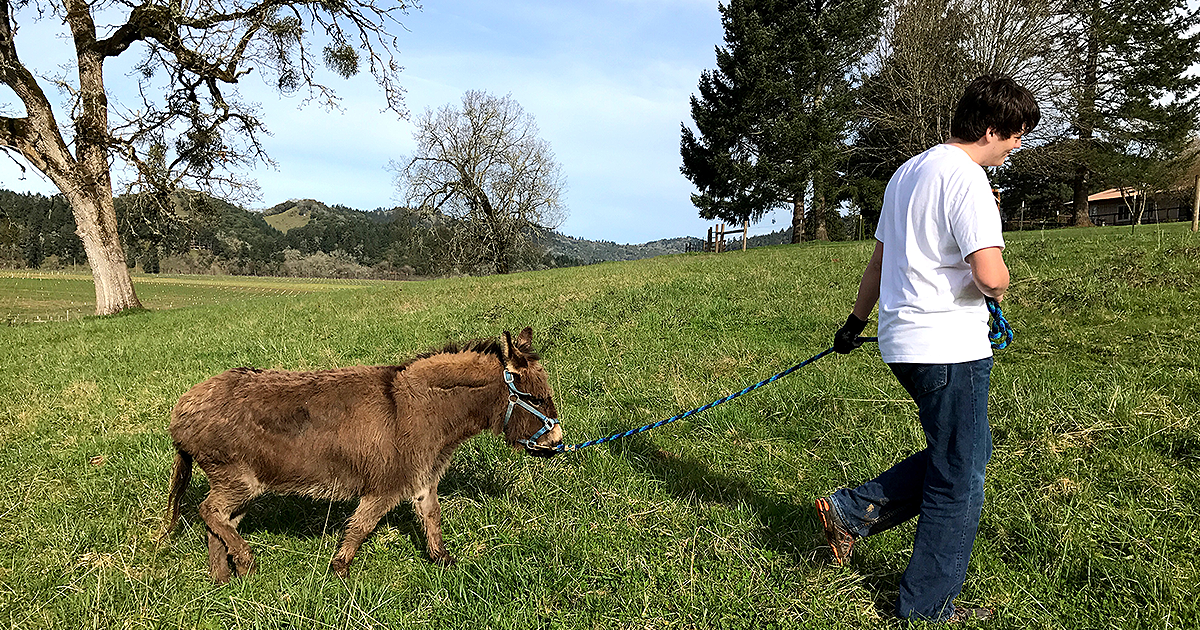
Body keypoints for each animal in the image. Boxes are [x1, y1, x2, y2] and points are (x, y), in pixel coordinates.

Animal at [163, 327, 562, 582]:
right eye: (538, 399)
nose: (558, 441)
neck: (418, 407)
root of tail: (182, 407)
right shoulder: (386, 486)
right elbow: (360, 526)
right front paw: (340, 570)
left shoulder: (421, 480)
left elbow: (432, 518)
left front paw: (443, 561)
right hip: (238, 479)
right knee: (209, 511)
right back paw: (246, 563)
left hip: (239, 485)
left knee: (219, 523)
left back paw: (224, 580)